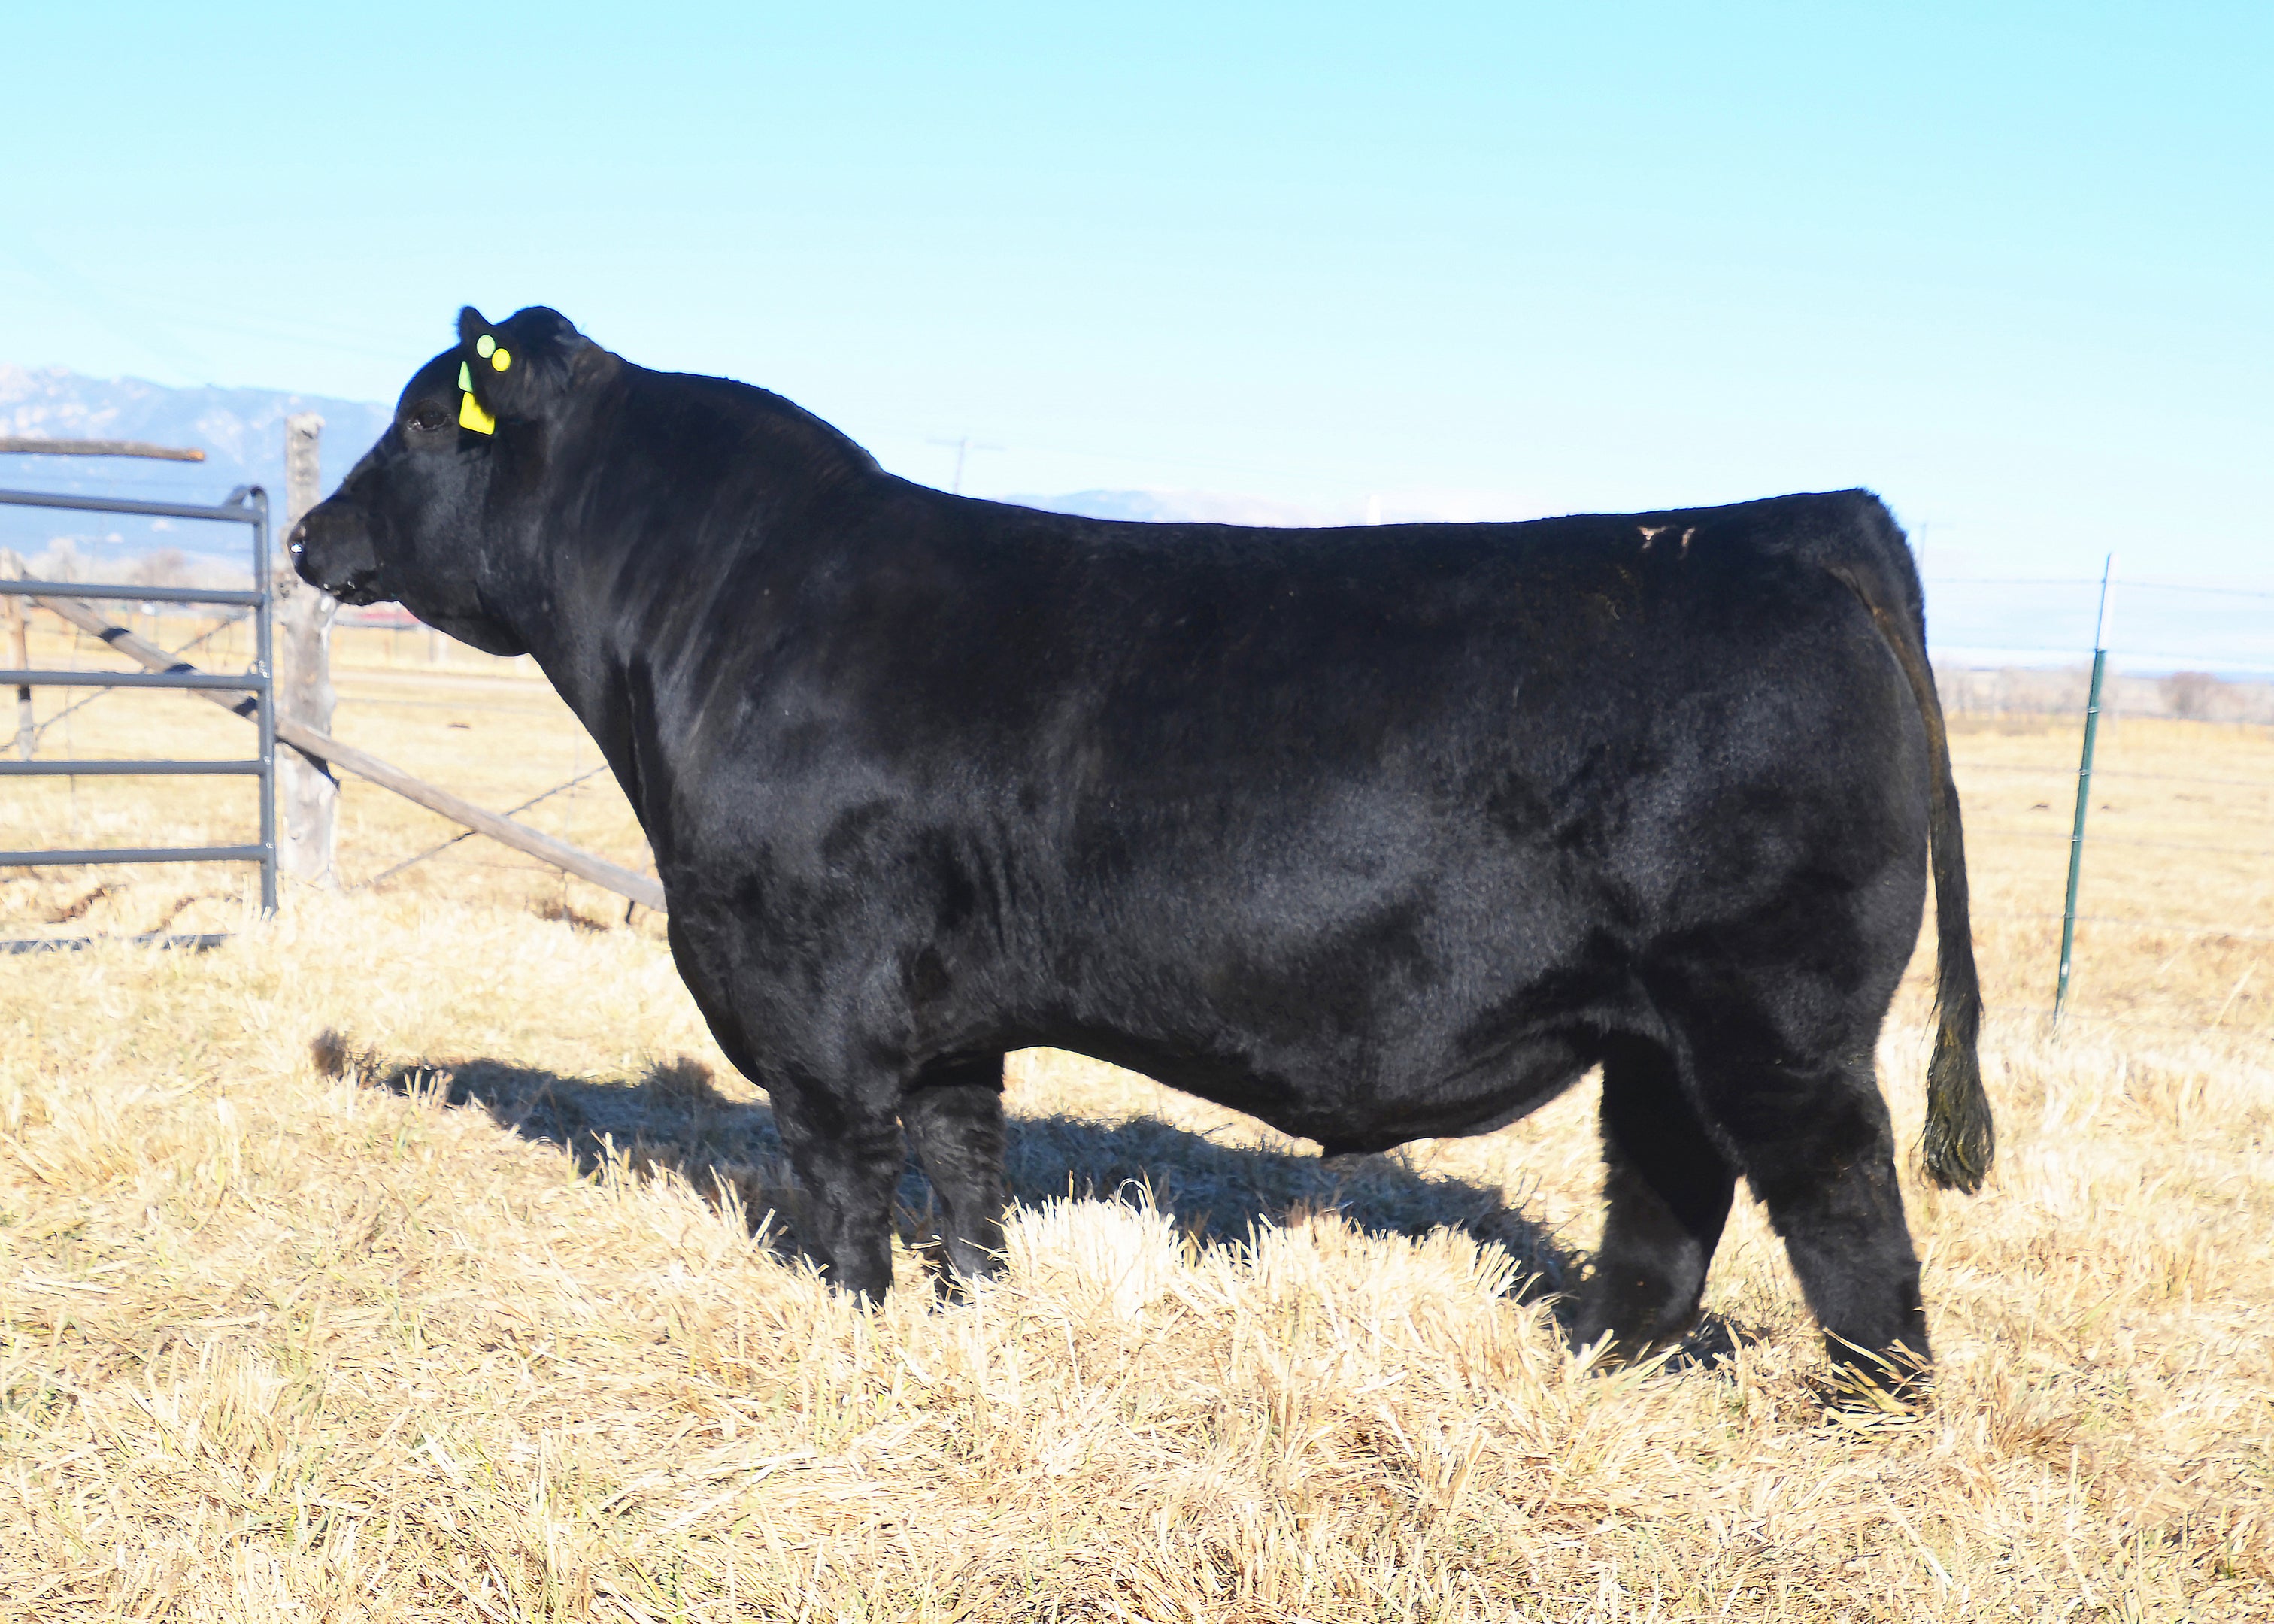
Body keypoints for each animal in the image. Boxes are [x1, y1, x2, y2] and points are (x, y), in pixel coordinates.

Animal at [293, 306, 1993, 1397]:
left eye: (413, 421)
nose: (309, 536)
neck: (712, 620)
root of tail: (1797, 521)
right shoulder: (947, 1010)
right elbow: (967, 1166)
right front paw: (974, 1308)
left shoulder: (812, 995)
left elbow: (844, 1178)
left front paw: (850, 1327)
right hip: (1656, 1027)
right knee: (1664, 1193)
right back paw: (1604, 1363)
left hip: (1775, 1012)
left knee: (1842, 1207)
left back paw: (1869, 1410)